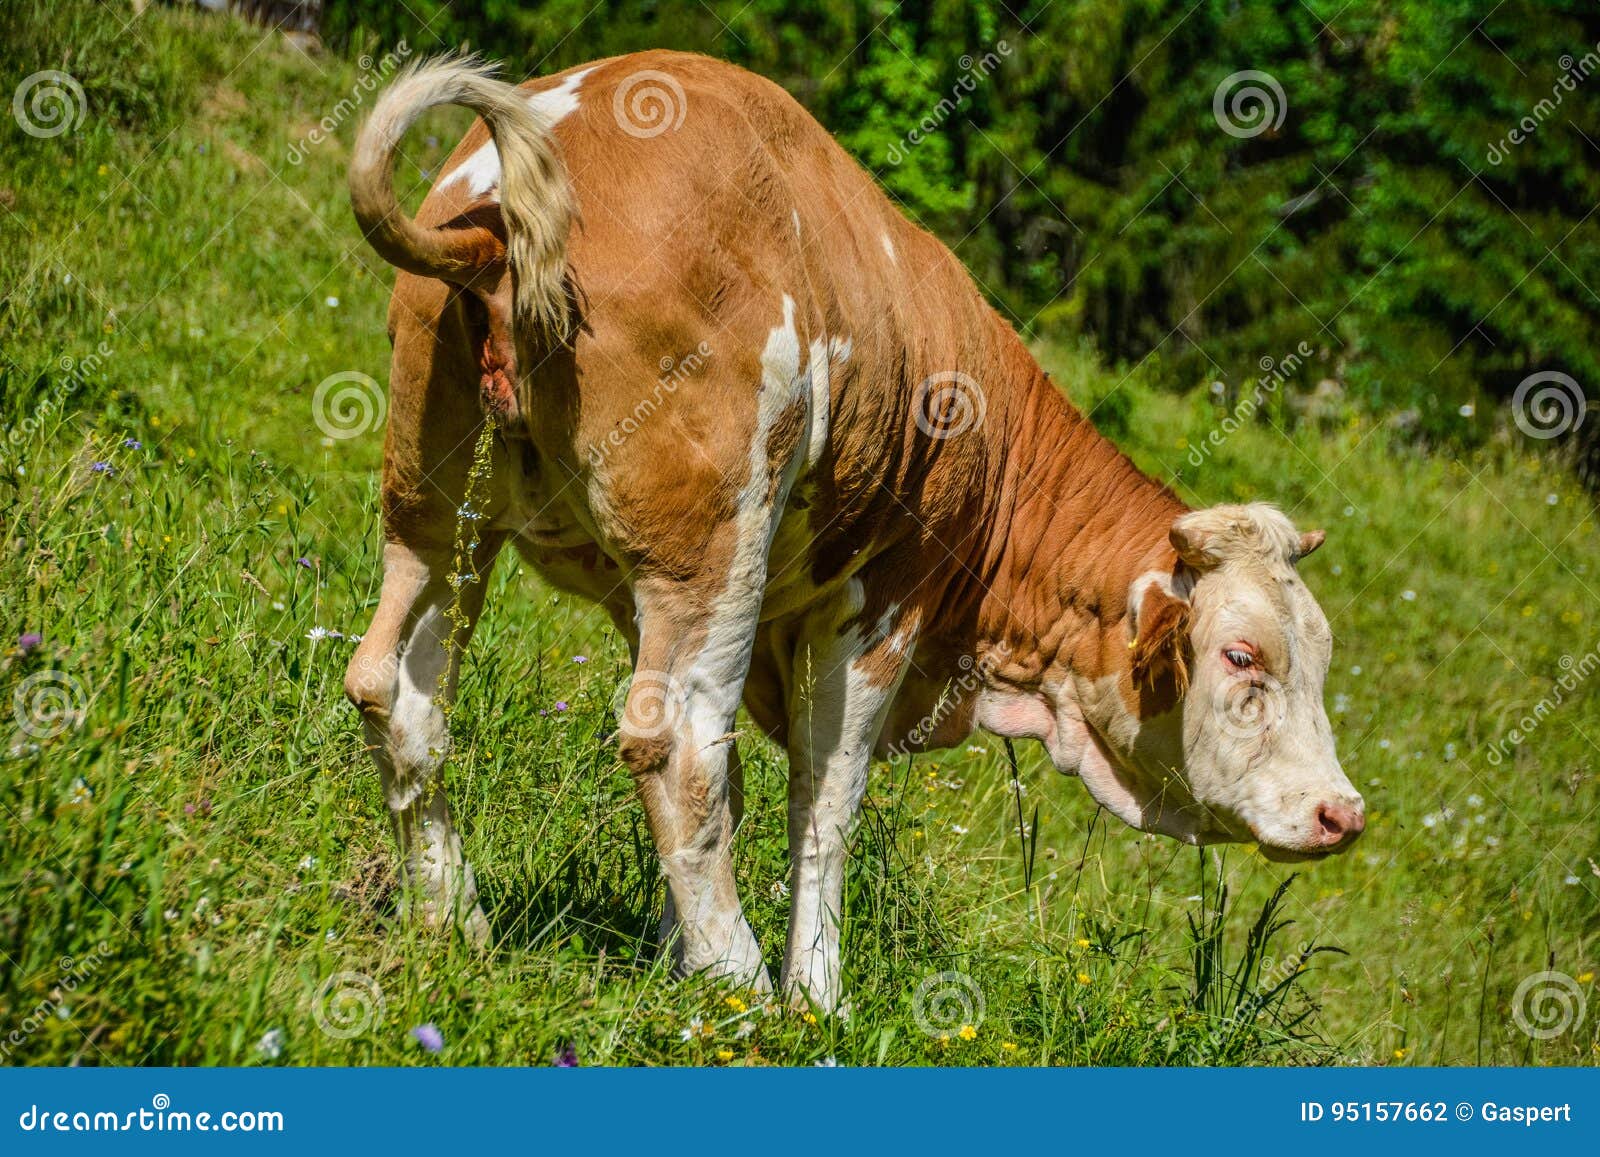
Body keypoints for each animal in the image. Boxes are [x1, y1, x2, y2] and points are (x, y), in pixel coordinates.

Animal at [343, 51, 1364, 1012]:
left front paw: (677, 957)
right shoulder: (883, 599)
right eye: (1242, 655)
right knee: (672, 742)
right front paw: (811, 994)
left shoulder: (658, 599)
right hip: (714, 544)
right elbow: (823, 797)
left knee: (398, 690)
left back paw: (454, 921)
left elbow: (734, 790)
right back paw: (745, 987)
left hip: (442, 515)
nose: (1342, 813)